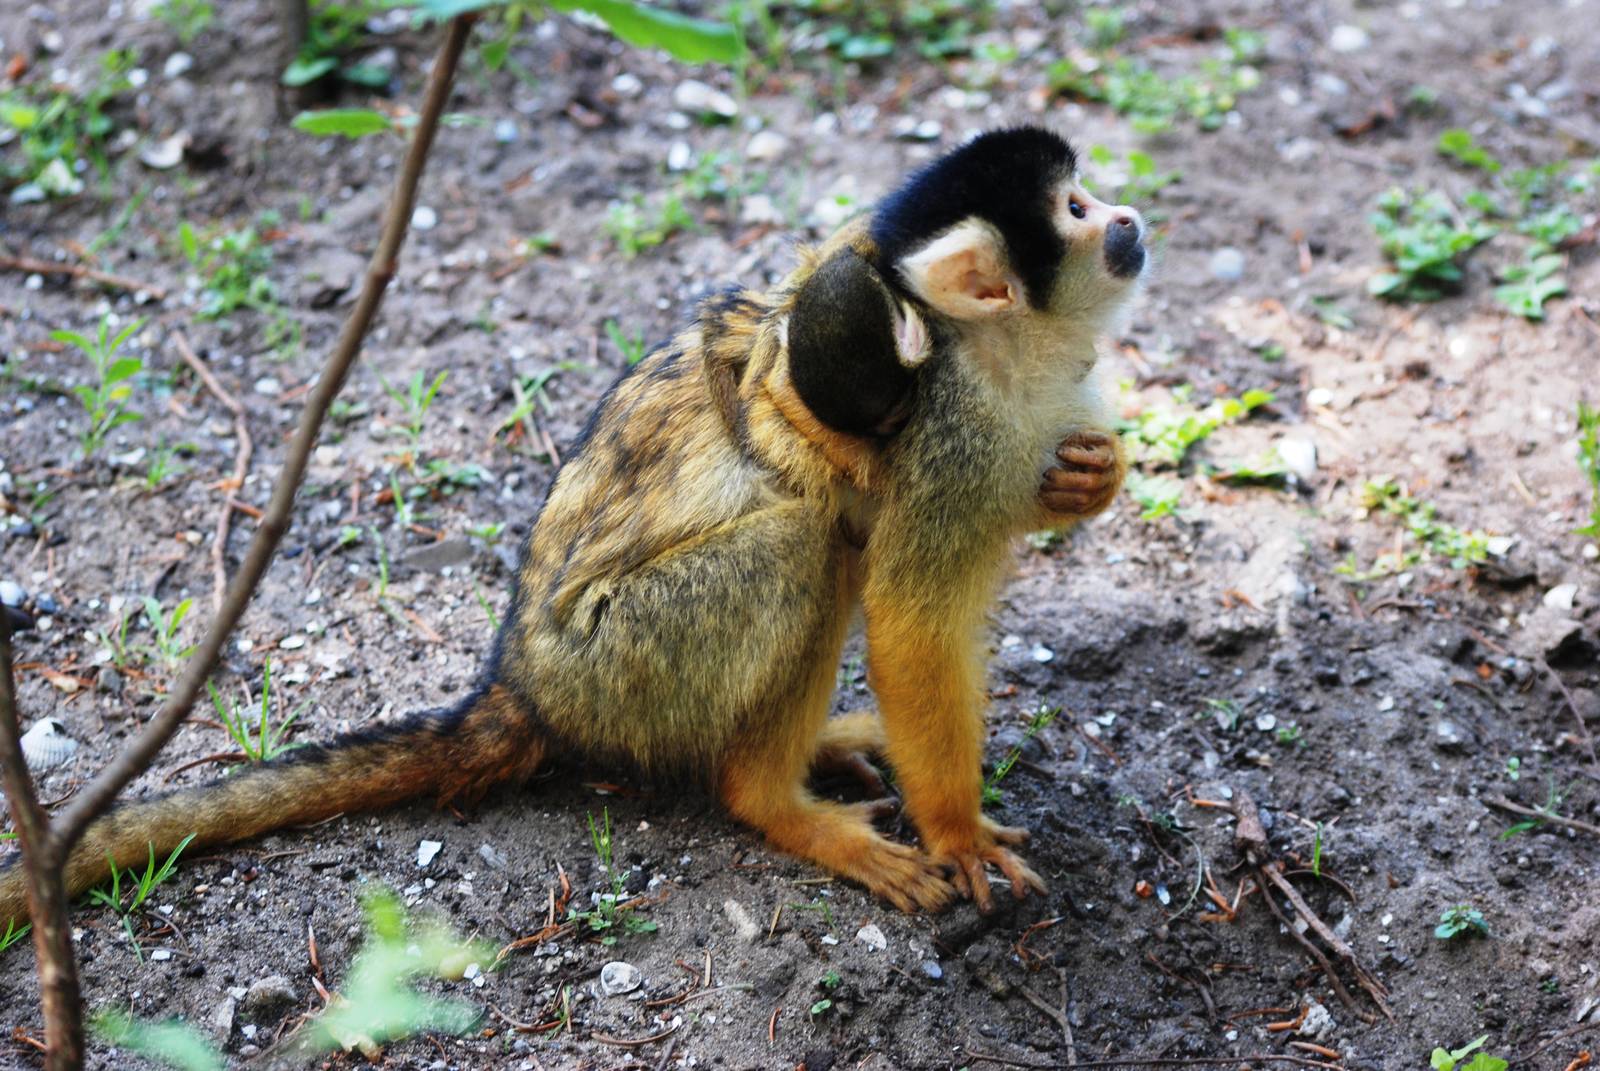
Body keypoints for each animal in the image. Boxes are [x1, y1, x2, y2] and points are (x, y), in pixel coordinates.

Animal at [0, 126, 1143, 925]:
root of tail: (522, 684)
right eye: (1076, 207)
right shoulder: (946, 433)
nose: (1128, 217)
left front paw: (1091, 481)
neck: (1004, 353)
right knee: (805, 545)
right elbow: (912, 620)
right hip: (627, 663)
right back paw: (774, 800)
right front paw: (957, 829)